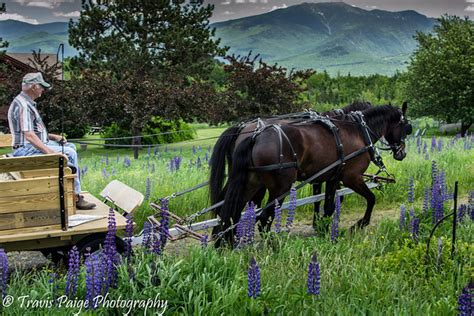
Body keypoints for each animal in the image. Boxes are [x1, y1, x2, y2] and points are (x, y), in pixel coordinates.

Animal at [211, 103, 412, 244]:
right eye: (406, 128)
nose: (402, 153)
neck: (358, 130)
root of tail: (254, 135)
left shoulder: (332, 177)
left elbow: (329, 205)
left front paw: (324, 228)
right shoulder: (351, 178)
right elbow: (371, 199)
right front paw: (357, 225)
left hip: (251, 182)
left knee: (232, 211)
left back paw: (226, 241)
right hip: (280, 187)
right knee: (263, 217)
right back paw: (272, 246)